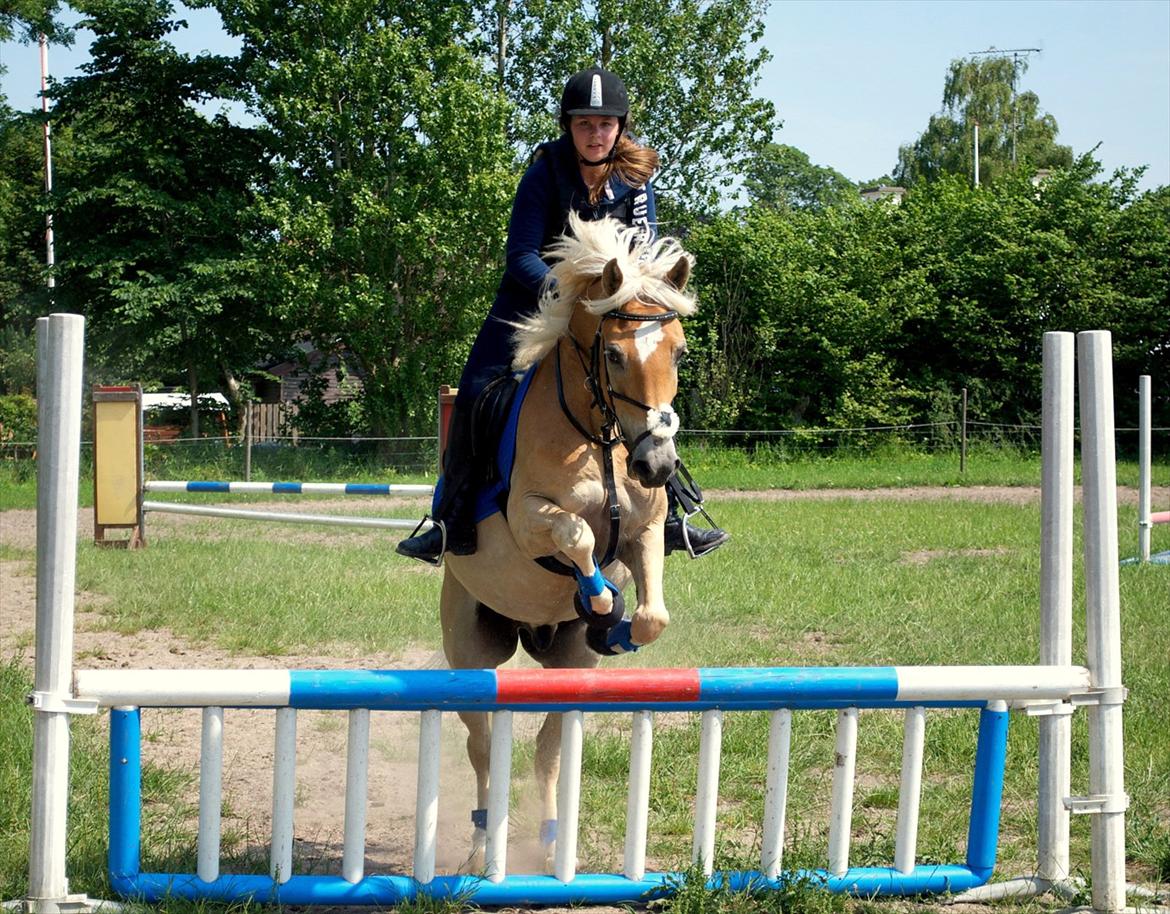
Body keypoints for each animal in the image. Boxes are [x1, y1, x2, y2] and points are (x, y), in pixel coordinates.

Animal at [437, 211, 692, 870]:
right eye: (613, 354)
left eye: (679, 351)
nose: (657, 464)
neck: (598, 437)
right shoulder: (528, 521)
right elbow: (575, 536)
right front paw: (599, 600)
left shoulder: (645, 531)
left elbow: (653, 613)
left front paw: (617, 628)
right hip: (471, 650)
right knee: (482, 749)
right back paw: (481, 848)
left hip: (567, 666)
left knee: (549, 749)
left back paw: (553, 846)